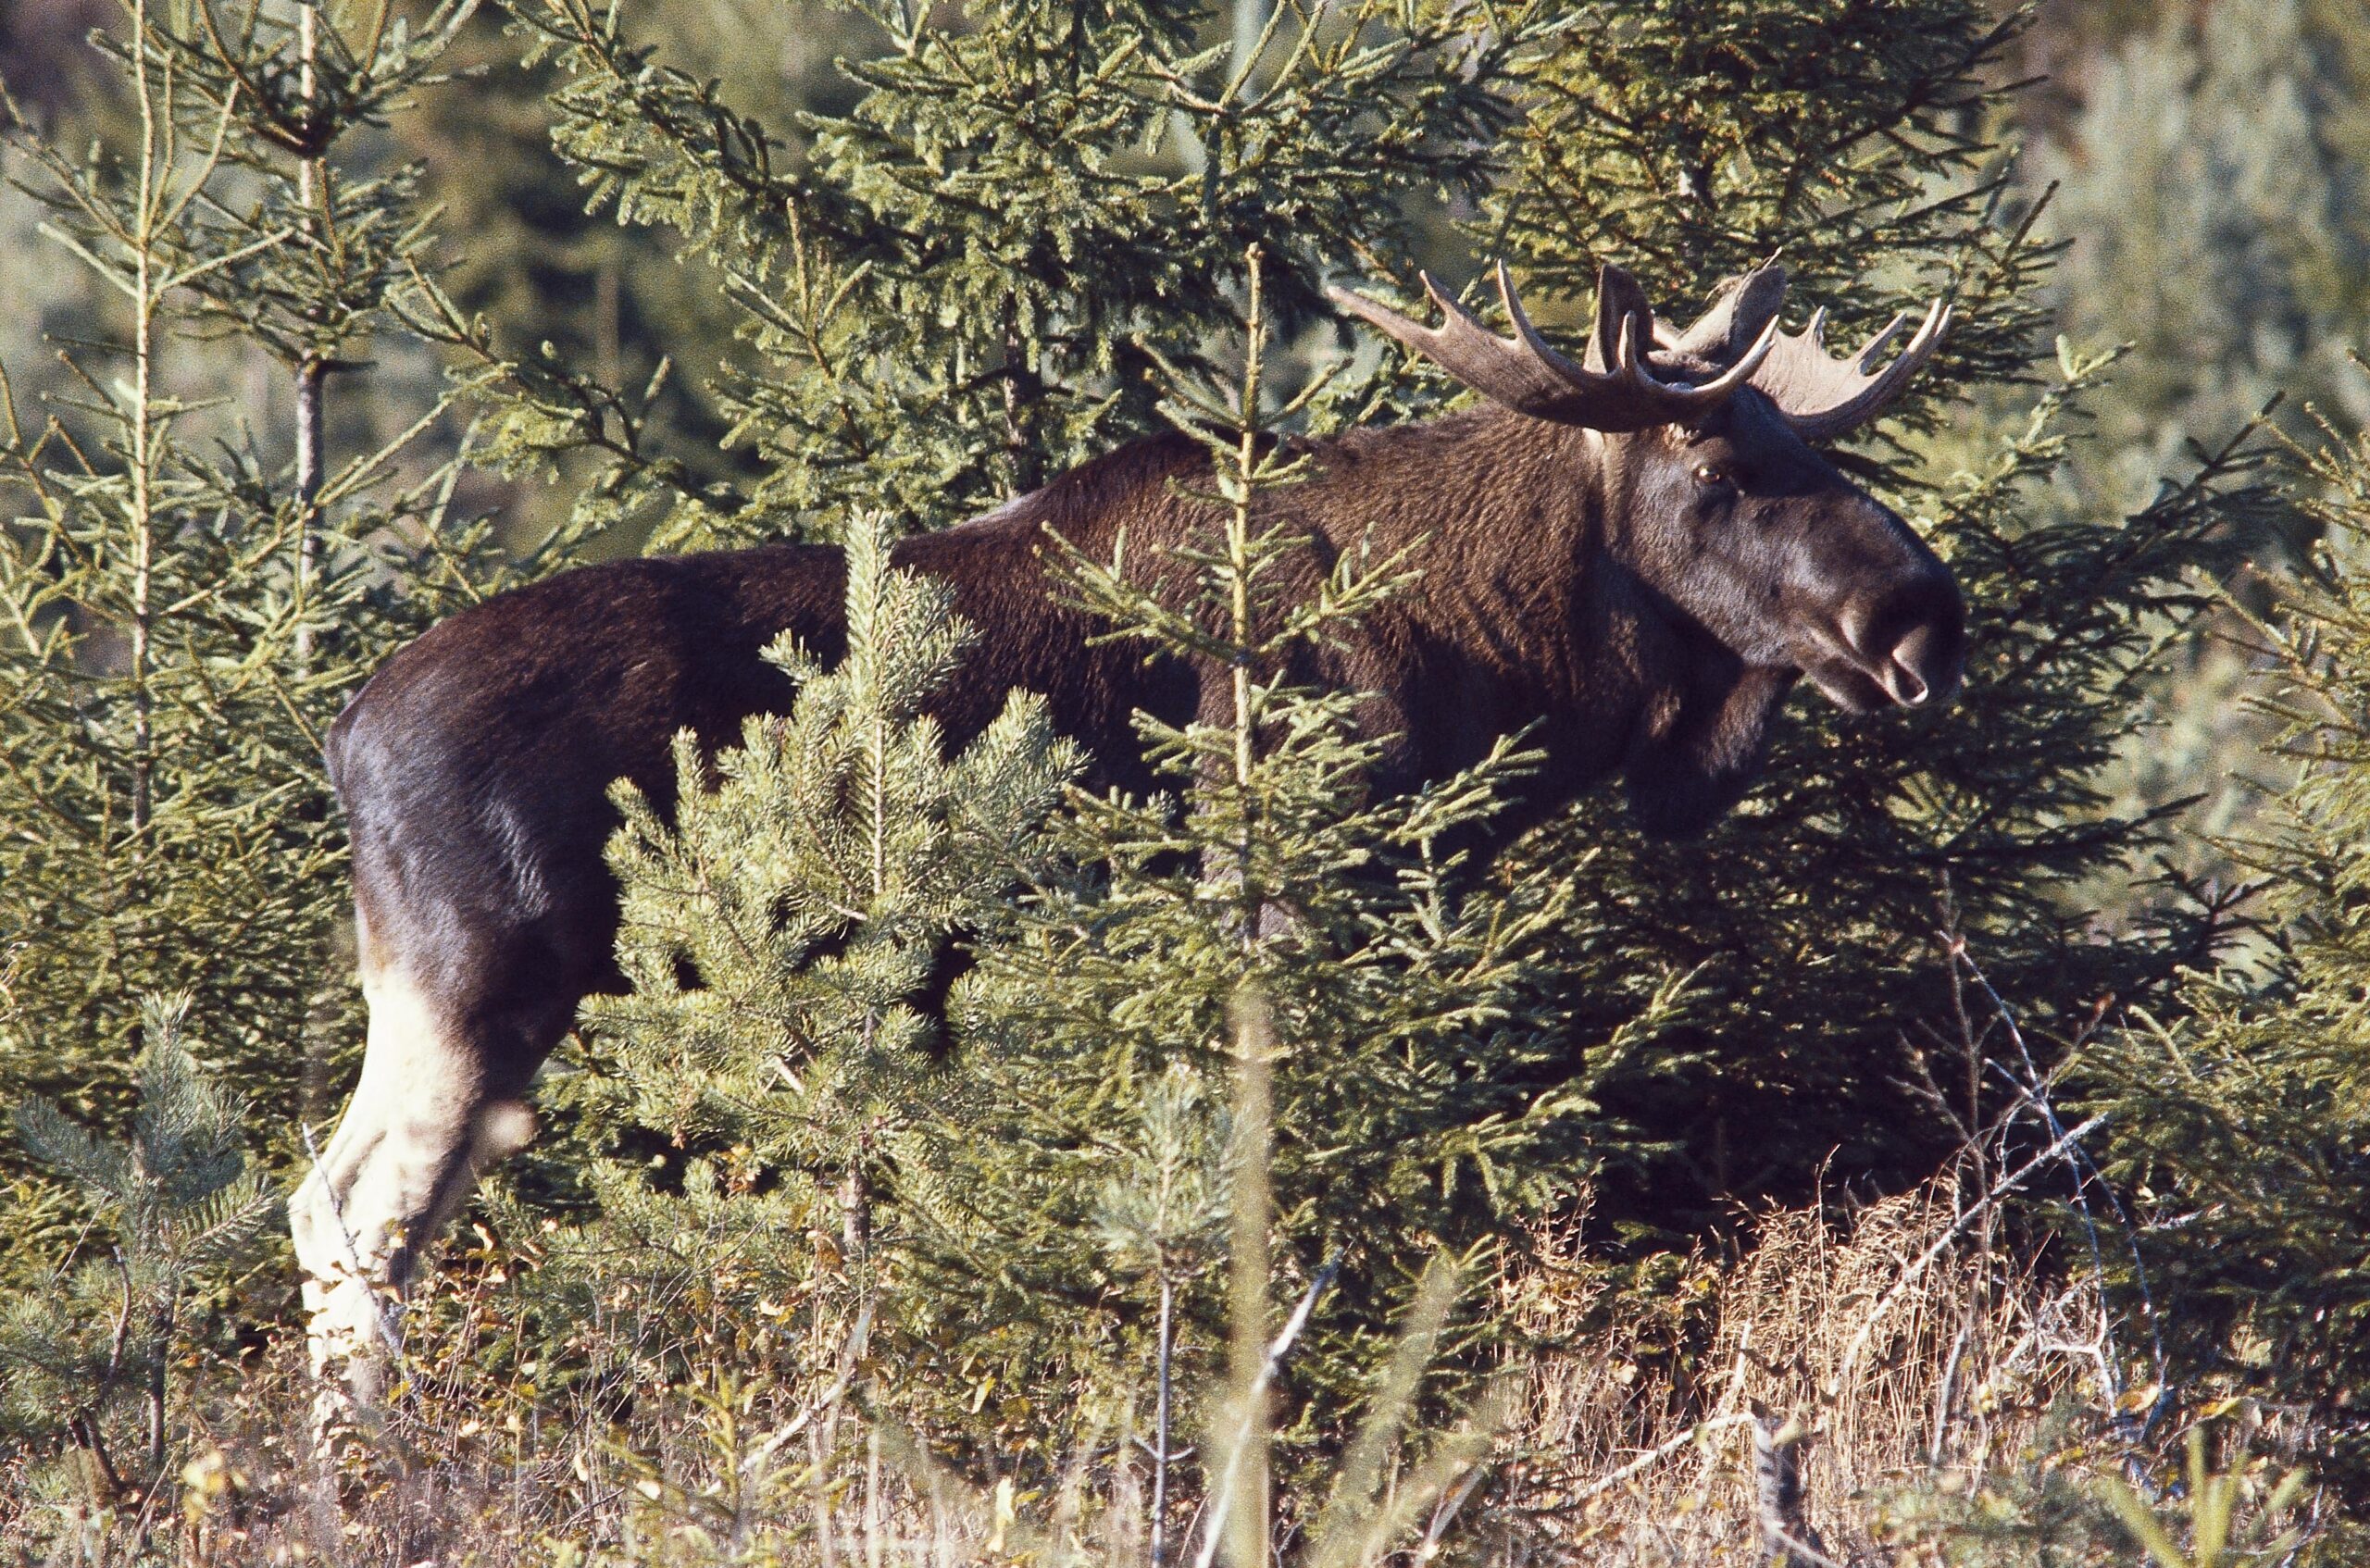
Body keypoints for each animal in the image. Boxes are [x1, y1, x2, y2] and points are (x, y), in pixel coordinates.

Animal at [291, 257, 1962, 1401]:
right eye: (1724, 468)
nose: (1919, 611)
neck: (1497, 664)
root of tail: (346, 737)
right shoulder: (1273, 899)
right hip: (487, 979)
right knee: (360, 1219)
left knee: (331, 1203)